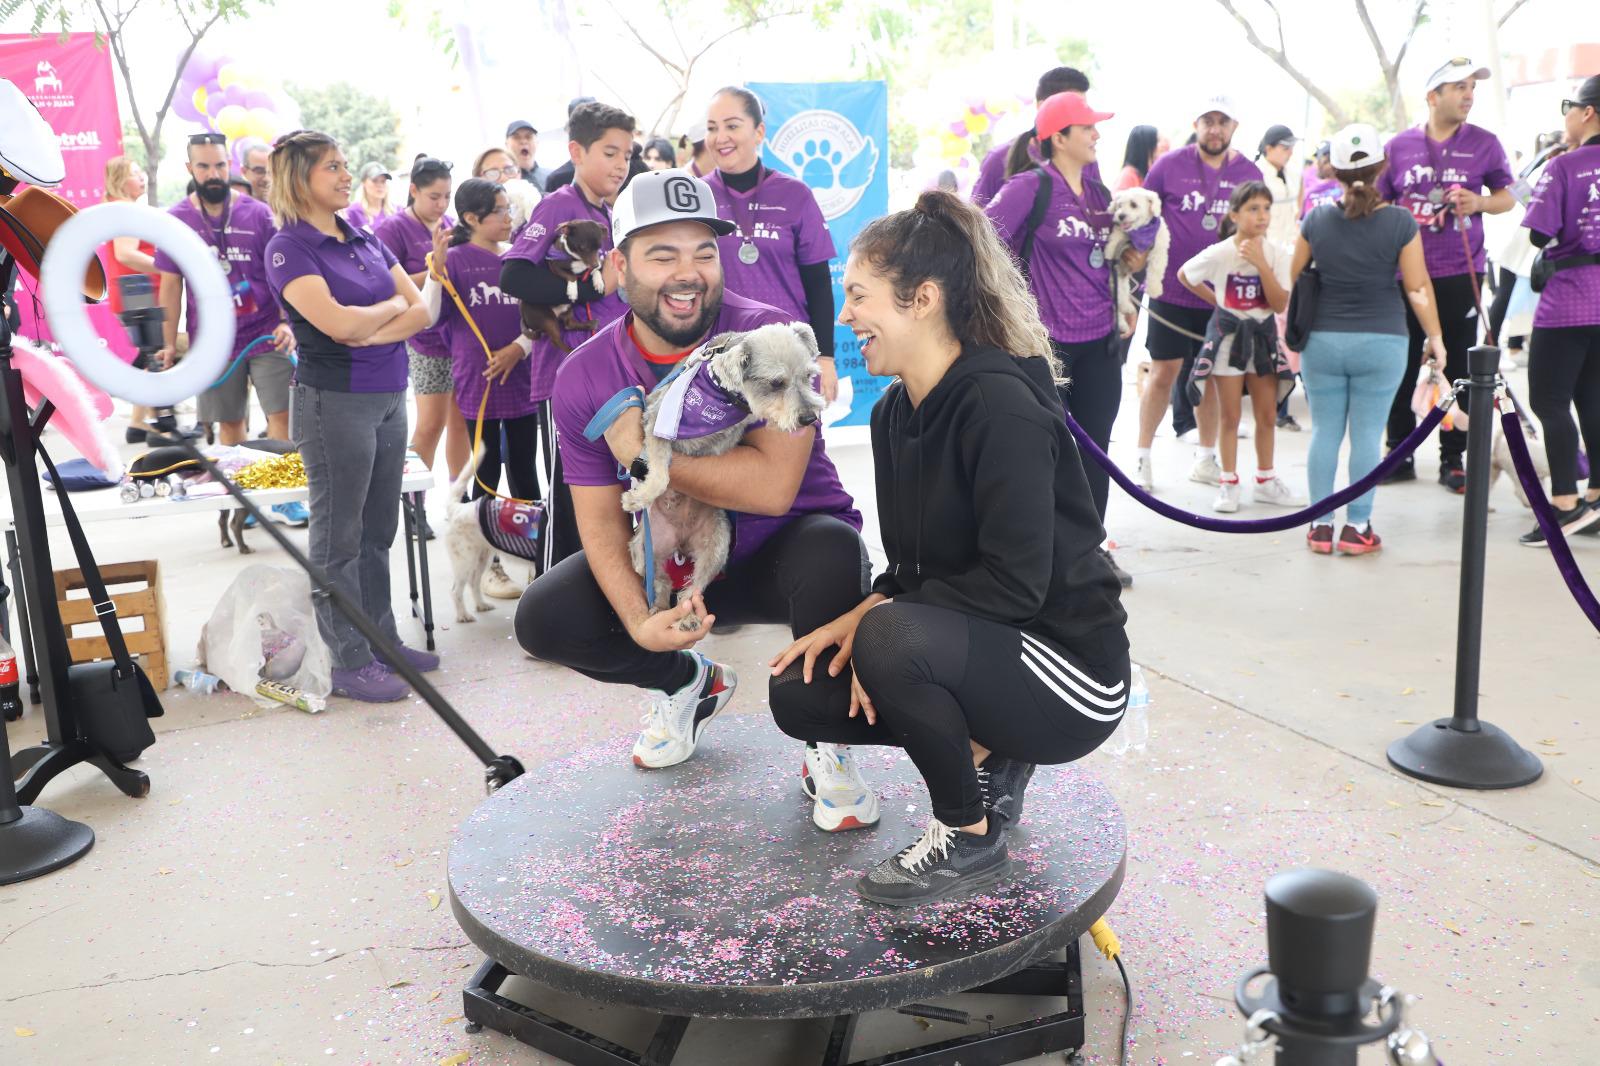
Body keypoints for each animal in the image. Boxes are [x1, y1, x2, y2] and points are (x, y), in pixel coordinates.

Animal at [521, 219, 608, 352]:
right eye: (583, 247)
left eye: (599, 247)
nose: (596, 264)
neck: (577, 260)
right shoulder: (554, 266)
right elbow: (571, 276)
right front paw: (573, 290)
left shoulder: (587, 270)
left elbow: (595, 271)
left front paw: (599, 282)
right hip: (547, 319)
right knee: (555, 340)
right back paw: (571, 351)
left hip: (567, 308)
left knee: (569, 325)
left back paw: (589, 324)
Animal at [624, 320, 825, 627]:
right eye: (776, 383)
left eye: (808, 376)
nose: (809, 418)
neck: (719, 396)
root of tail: (680, 542)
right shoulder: (658, 423)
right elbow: (660, 475)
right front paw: (638, 498)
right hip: (646, 548)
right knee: (658, 578)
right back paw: (659, 608)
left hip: (716, 545)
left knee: (690, 589)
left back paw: (686, 616)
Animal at [1107, 185, 1171, 328]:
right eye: (1119, 205)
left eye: (1133, 204)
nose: (1121, 216)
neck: (1141, 232)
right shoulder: (1121, 235)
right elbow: (1115, 239)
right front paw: (1109, 250)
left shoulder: (1159, 249)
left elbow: (1156, 270)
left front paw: (1154, 289)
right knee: (1119, 298)